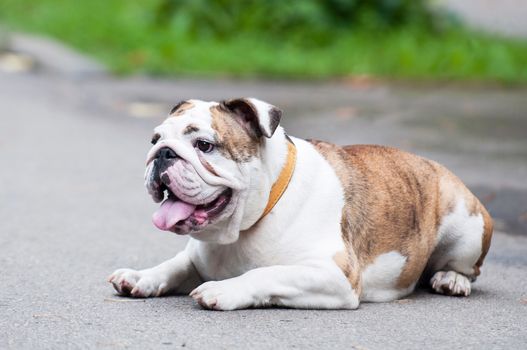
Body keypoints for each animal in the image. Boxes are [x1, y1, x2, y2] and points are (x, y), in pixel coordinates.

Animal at [108, 98, 496, 308]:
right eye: (155, 139)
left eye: (204, 145)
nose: (163, 153)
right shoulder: (196, 257)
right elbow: (173, 265)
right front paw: (141, 276)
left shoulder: (332, 274)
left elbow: (267, 273)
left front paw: (224, 288)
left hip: (466, 225)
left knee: (468, 268)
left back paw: (451, 279)